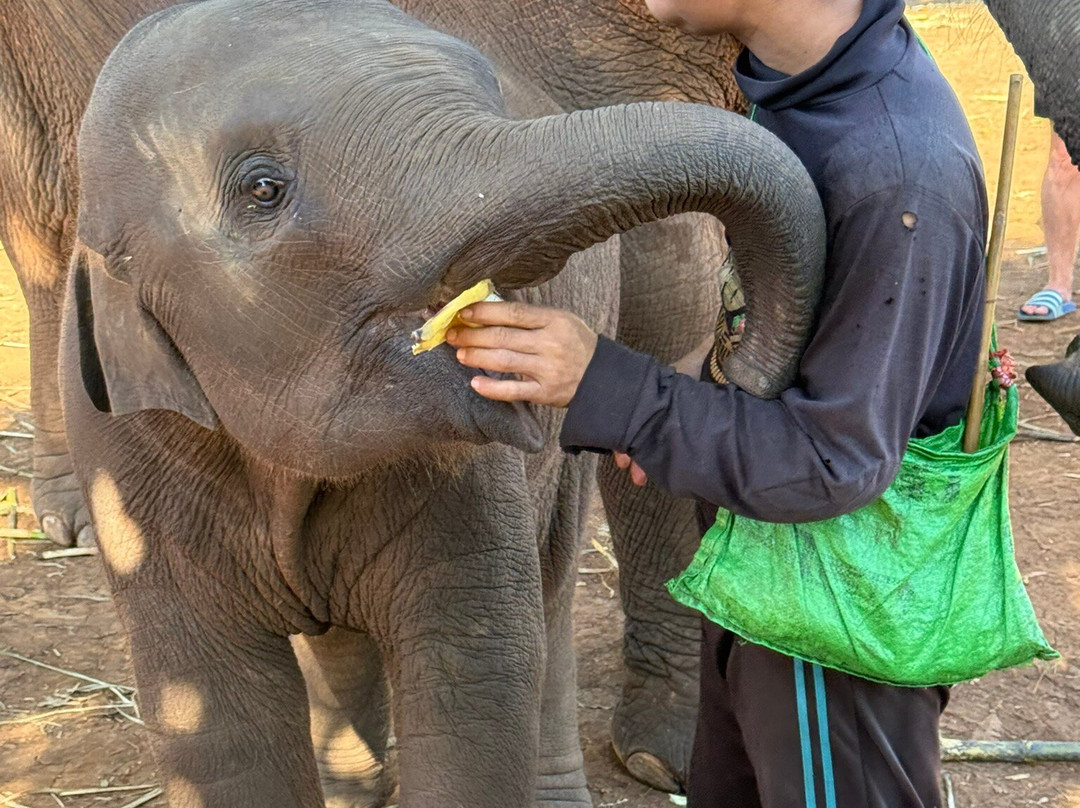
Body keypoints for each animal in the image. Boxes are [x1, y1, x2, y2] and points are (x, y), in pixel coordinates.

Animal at [0, 0, 792, 794]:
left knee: (554, 578)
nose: (742, 361)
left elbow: (475, 684)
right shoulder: (133, 467)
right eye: (263, 189)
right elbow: (218, 721)